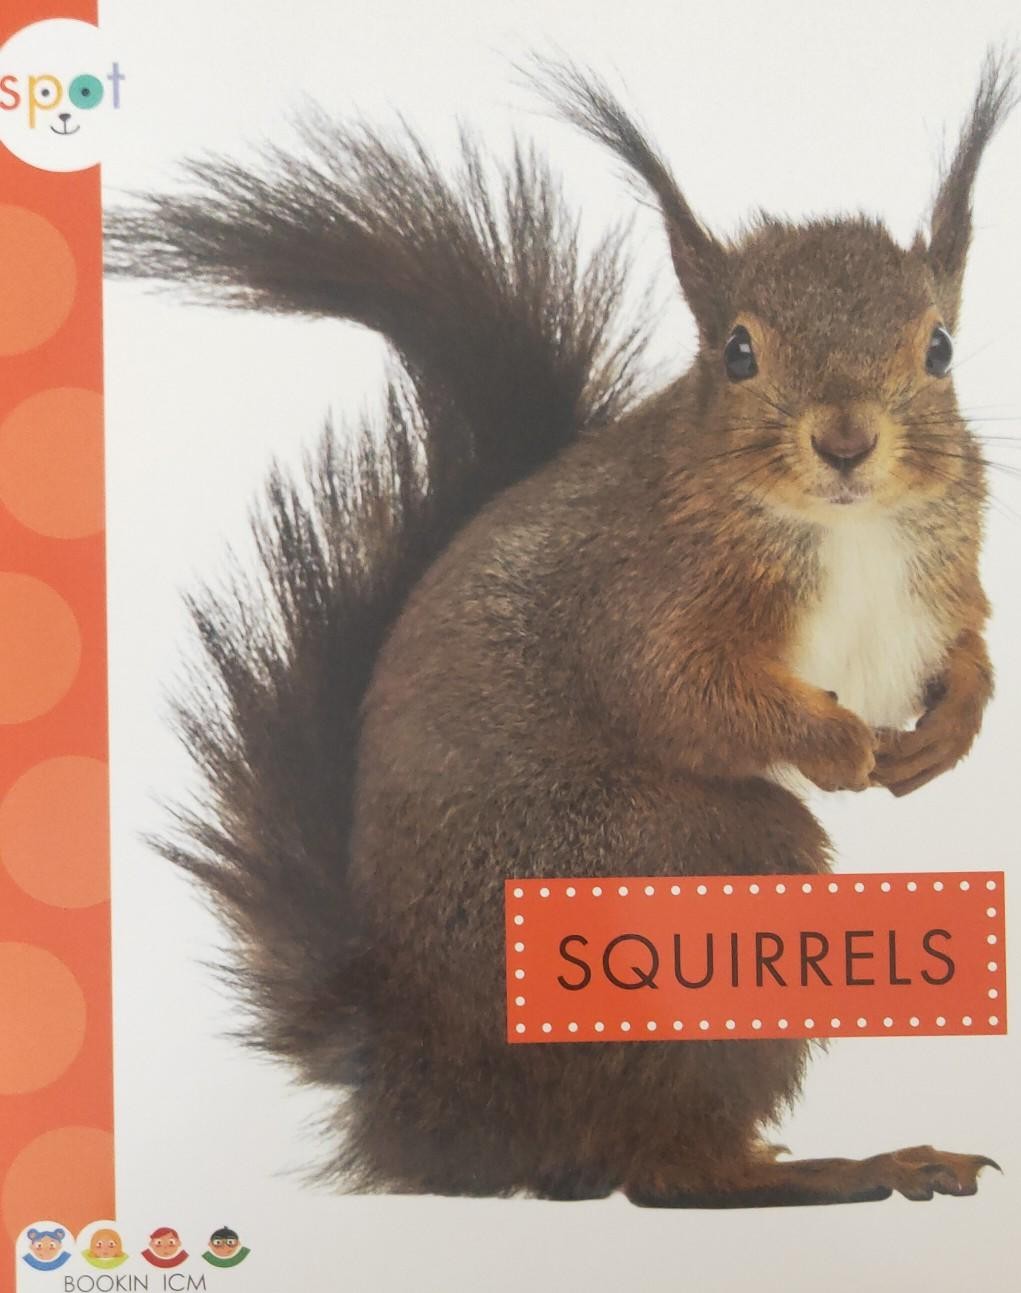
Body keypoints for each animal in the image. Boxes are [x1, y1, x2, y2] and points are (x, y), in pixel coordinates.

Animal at [106, 52, 1015, 1207]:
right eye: (737, 353)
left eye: (937, 346)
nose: (847, 442)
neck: (840, 528)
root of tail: (431, 1096)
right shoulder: (639, 596)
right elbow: (682, 698)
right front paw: (837, 743)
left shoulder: (940, 580)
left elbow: (967, 652)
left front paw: (944, 734)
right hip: (680, 869)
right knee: (667, 1174)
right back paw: (845, 1166)